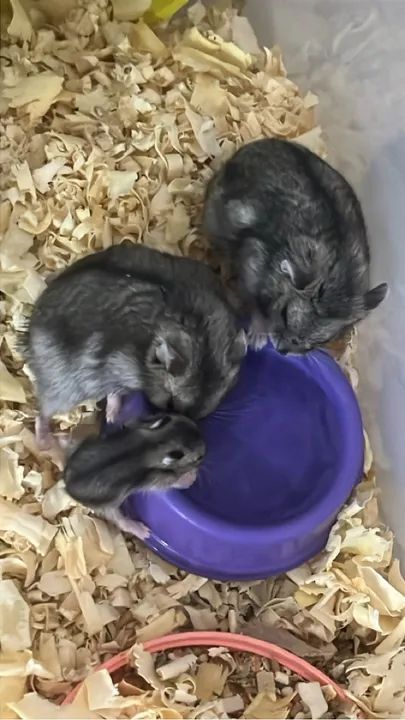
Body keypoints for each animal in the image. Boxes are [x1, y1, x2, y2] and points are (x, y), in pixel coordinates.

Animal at [22, 242, 246, 447]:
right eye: (170, 402)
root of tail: (28, 341)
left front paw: (111, 415)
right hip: (64, 389)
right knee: (42, 415)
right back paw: (50, 441)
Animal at [64, 413, 205, 539]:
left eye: (191, 423)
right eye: (199, 458)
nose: (206, 448)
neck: (157, 442)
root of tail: (66, 485)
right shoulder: (157, 479)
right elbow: (174, 481)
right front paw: (191, 477)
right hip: (108, 506)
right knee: (119, 520)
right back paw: (143, 532)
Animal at [202, 137, 387, 353]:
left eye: (324, 340)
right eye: (284, 314)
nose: (282, 351)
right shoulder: (252, 261)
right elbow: (255, 305)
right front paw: (257, 341)